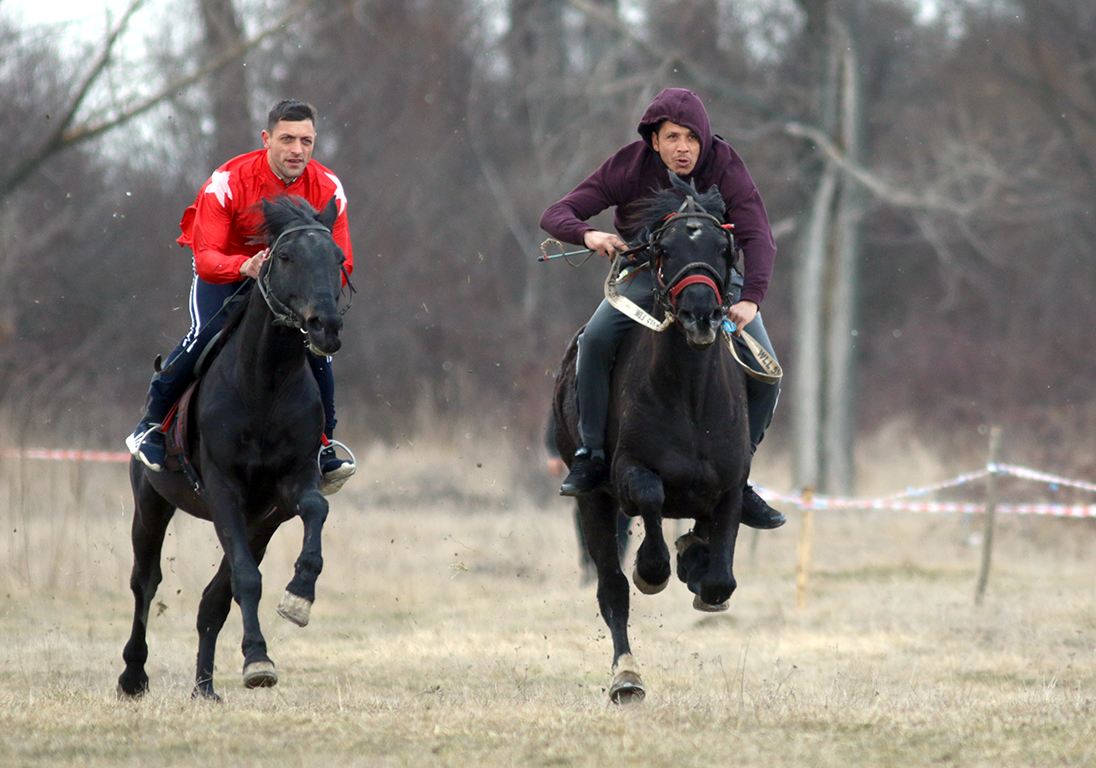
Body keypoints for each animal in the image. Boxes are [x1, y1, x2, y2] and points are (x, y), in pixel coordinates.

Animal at [118, 195, 346, 696]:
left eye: (339, 259)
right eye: (285, 256)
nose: (326, 325)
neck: (265, 383)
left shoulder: (289, 486)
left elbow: (315, 510)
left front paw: (298, 597)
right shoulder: (223, 489)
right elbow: (245, 578)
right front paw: (258, 657)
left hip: (259, 523)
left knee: (212, 599)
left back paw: (204, 687)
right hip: (151, 502)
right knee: (145, 581)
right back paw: (133, 674)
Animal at [552, 178, 749, 701]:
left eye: (723, 248)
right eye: (665, 249)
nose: (700, 314)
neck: (691, 394)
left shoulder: (730, 486)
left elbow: (720, 579)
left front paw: (697, 563)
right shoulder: (629, 475)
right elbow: (650, 504)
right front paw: (653, 568)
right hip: (592, 501)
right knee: (611, 589)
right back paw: (626, 677)